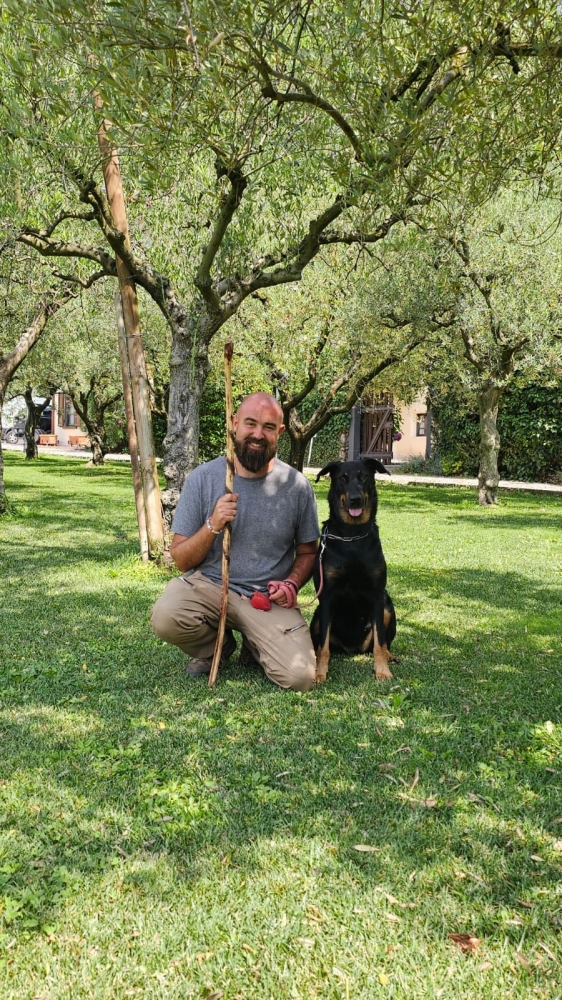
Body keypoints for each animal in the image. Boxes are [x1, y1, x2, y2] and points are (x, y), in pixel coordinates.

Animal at [310, 458, 397, 683]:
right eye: (343, 478)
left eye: (364, 477)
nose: (355, 499)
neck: (352, 535)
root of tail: (352, 649)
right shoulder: (326, 597)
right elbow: (323, 647)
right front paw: (319, 672)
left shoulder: (377, 595)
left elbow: (379, 643)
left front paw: (382, 670)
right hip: (316, 618)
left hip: (387, 606)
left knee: (383, 642)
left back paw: (390, 656)